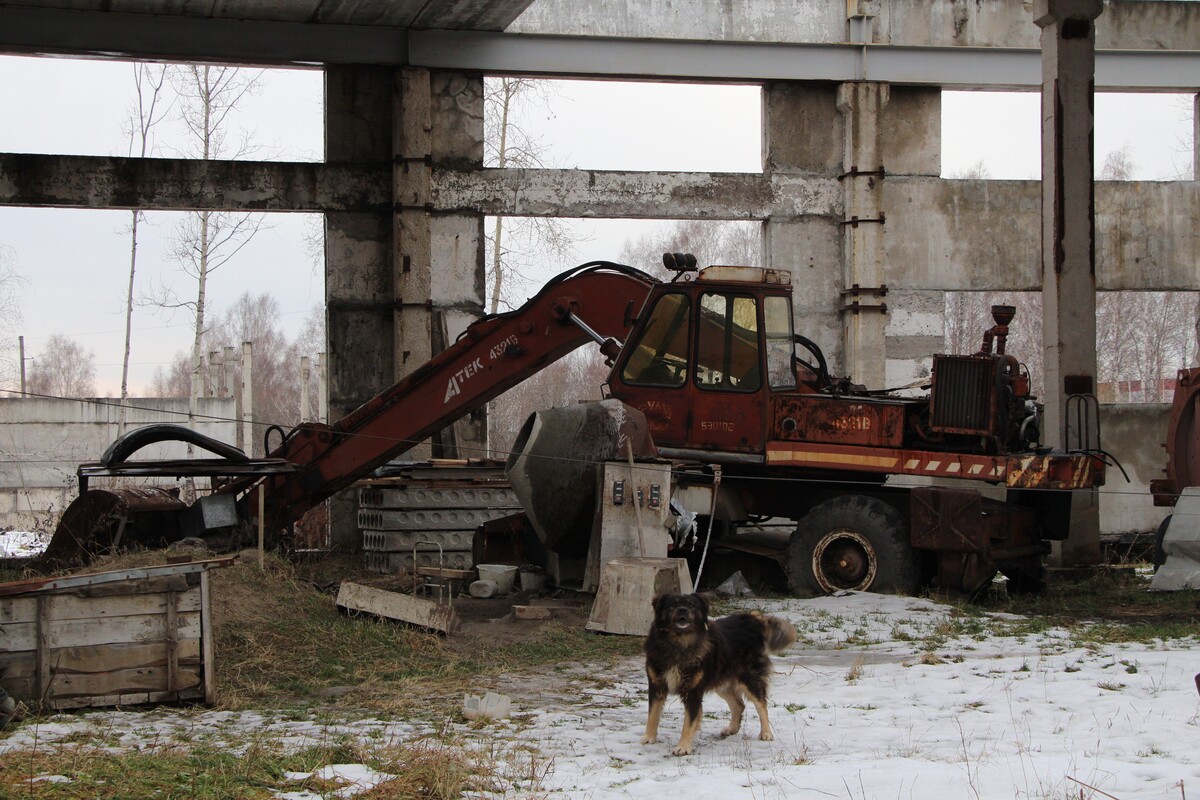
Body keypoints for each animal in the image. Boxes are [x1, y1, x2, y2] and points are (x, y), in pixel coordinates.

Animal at [638, 594, 796, 758]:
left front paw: (683, 747)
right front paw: (649, 738)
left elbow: (688, 721)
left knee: (761, 704)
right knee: (739, 705)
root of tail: (751, 619)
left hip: (749, 678)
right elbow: (653, 714)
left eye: (691, 605)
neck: (678, 642)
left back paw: (766, 733)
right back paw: (731, 729)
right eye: (672, 605)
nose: (683, 610)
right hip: (721, 681)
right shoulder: (656, 685)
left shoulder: (693, 691)